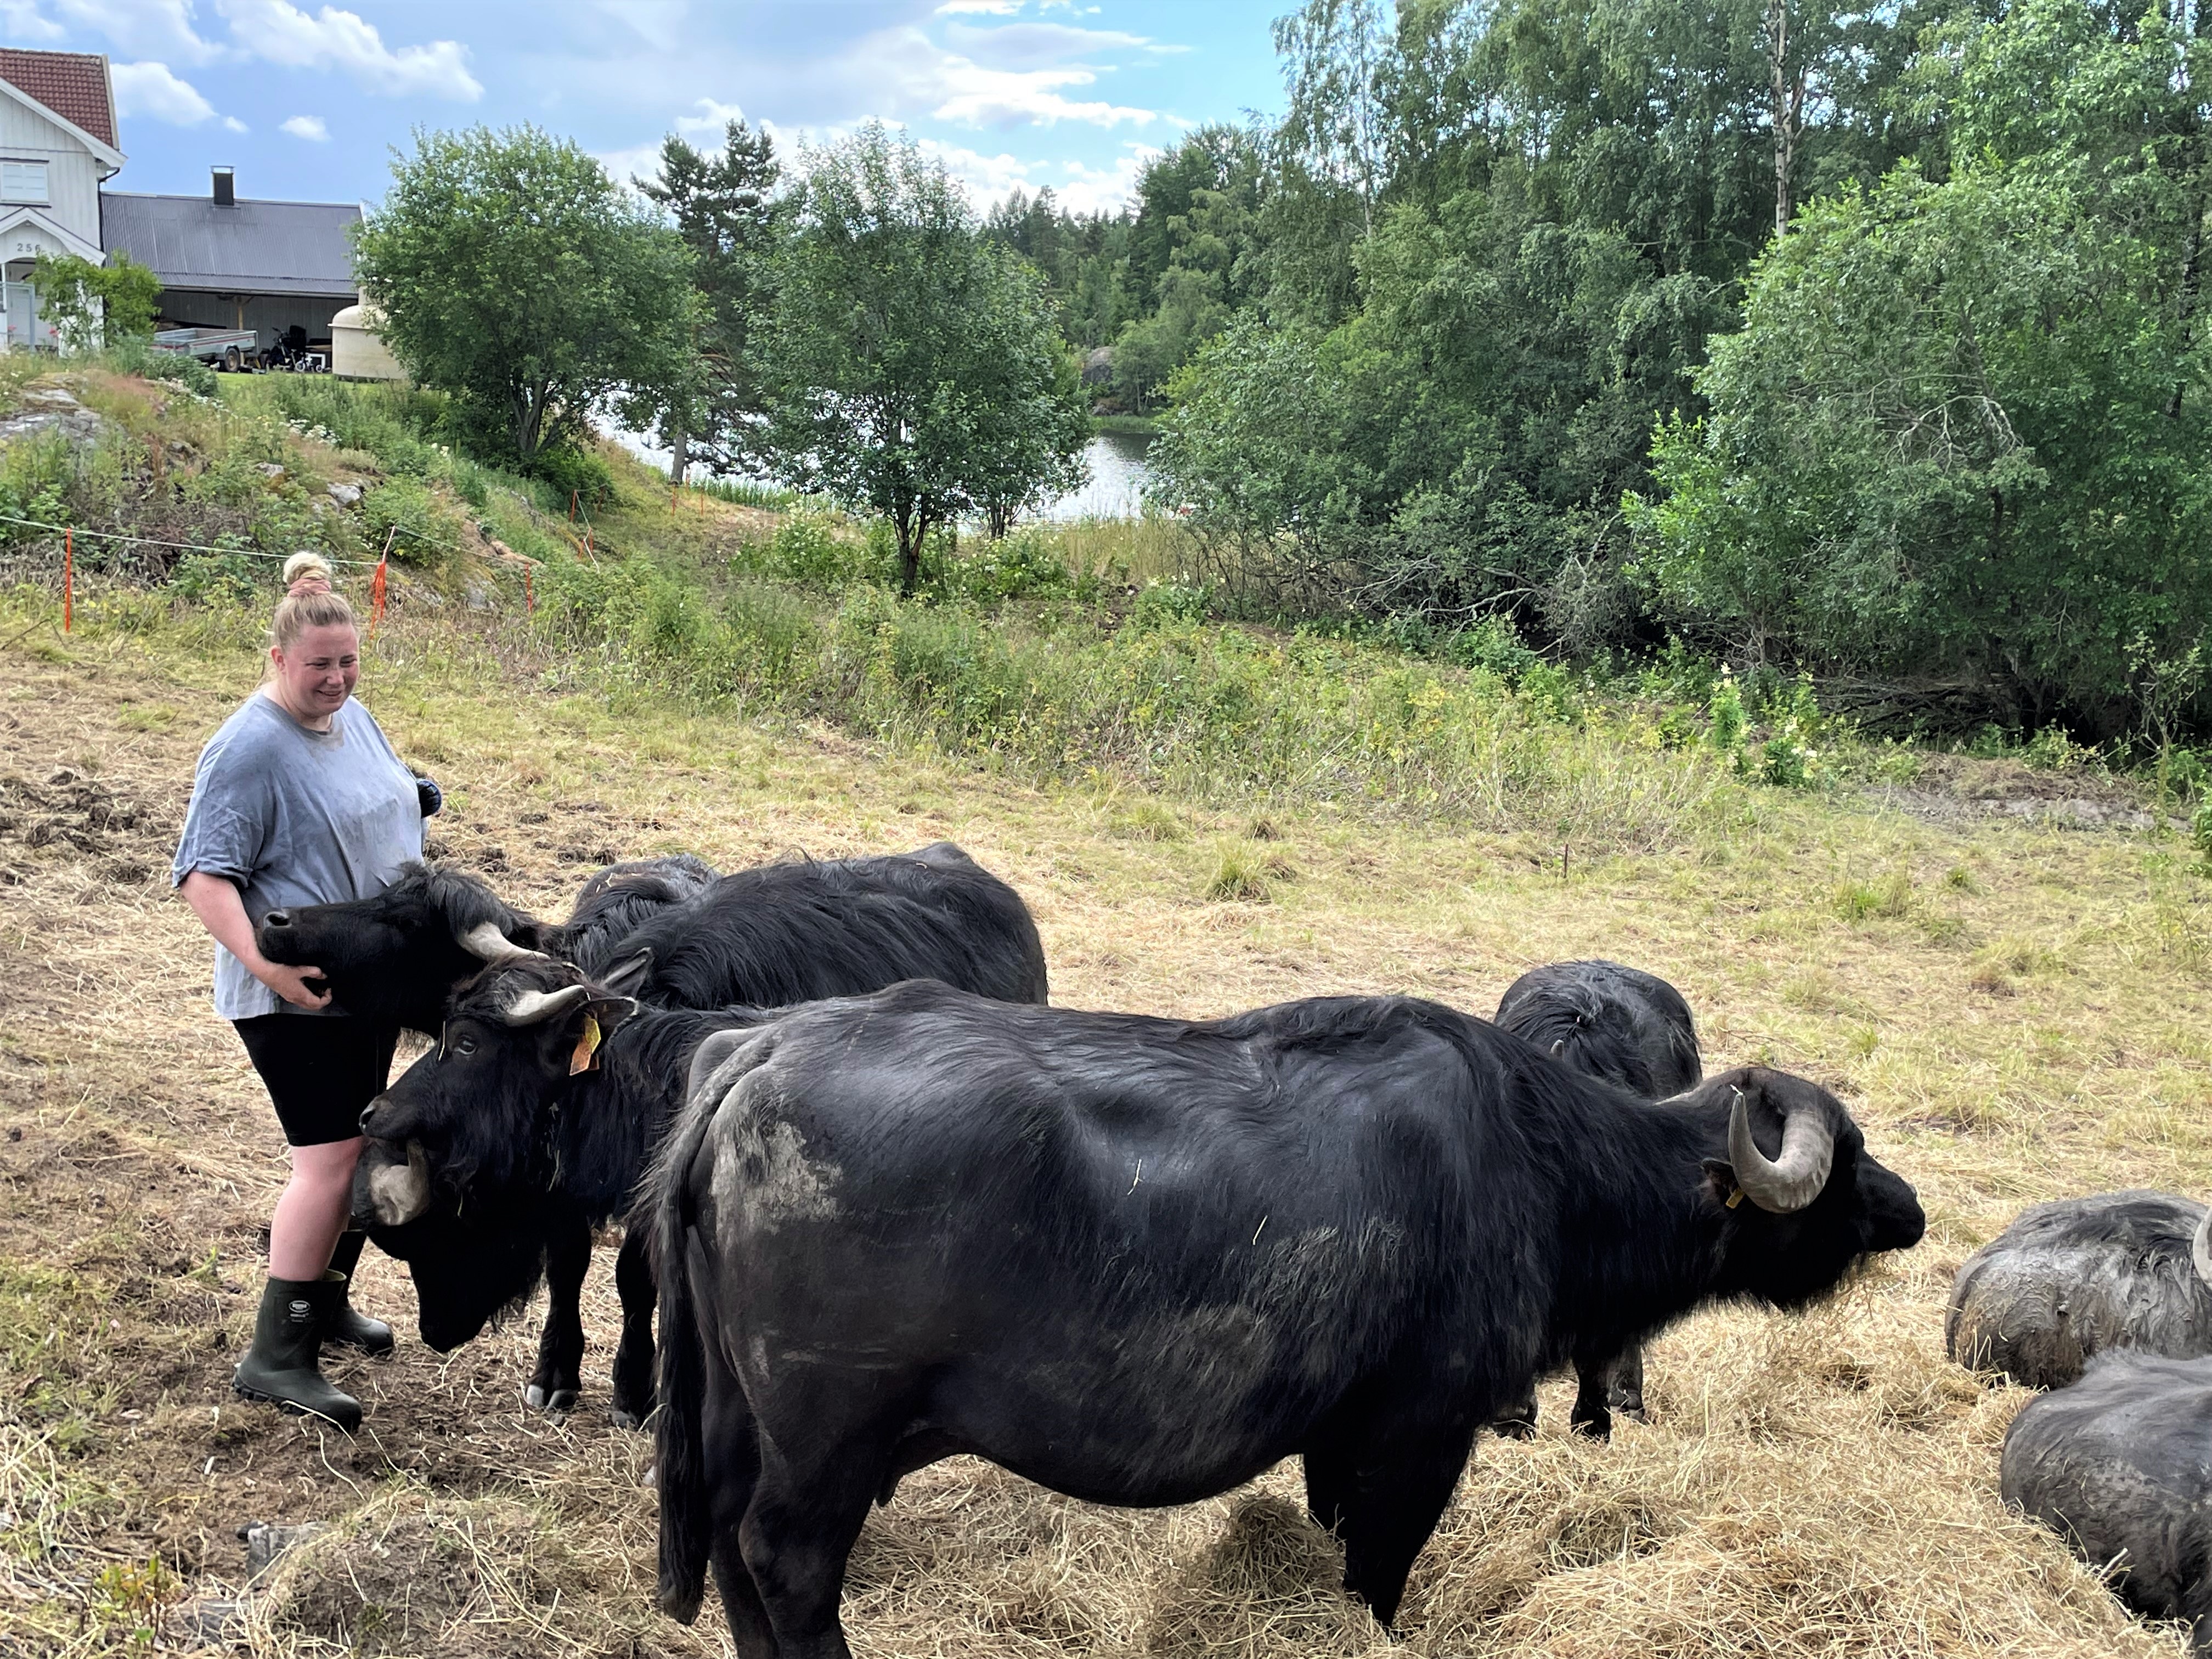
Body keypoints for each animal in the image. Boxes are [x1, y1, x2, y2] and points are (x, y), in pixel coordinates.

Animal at [358, 849, 1048, 1424]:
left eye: (467, 1043)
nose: (375, 1113)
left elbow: (635, 1280)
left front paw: (634, 1391)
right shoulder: (571, 1186)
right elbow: (568, 1266)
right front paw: (555, 1372)